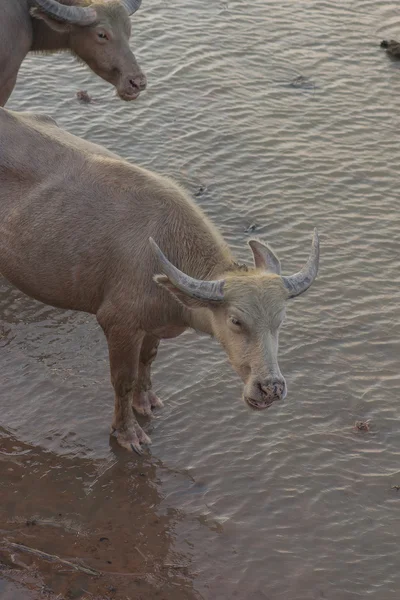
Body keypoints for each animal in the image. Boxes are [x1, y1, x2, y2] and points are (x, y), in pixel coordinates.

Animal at [0, 109, 320, 454]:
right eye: (236, 321)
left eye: (280, 320)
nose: (270, 387)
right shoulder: (118, 324)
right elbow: (123, 381)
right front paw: (127, 432)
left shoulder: (152, 326)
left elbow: (148, 360)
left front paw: (146, 401)